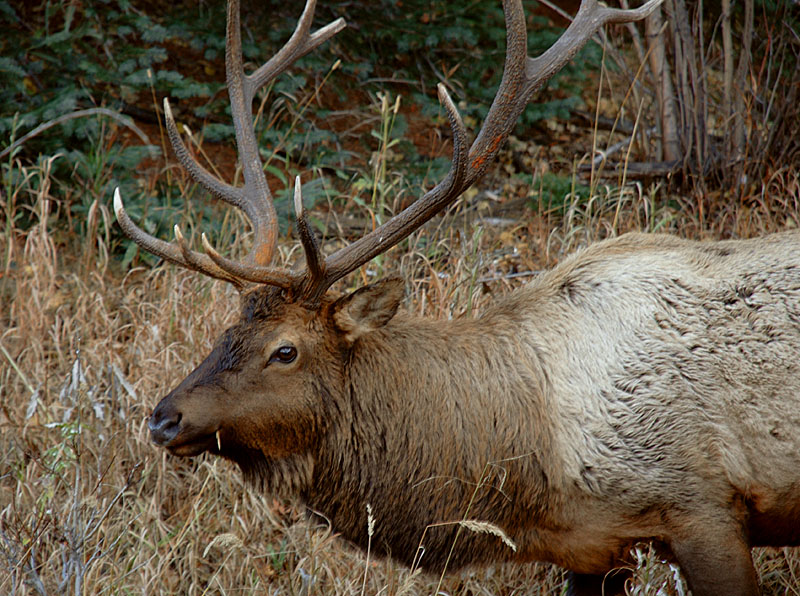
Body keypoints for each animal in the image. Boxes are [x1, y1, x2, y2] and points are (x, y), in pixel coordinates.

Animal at [115, 0, 800, 592]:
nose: (163, 417)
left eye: (284, 350)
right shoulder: (595, 549)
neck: (539, 472)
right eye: (225, 334)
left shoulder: (704, 509)